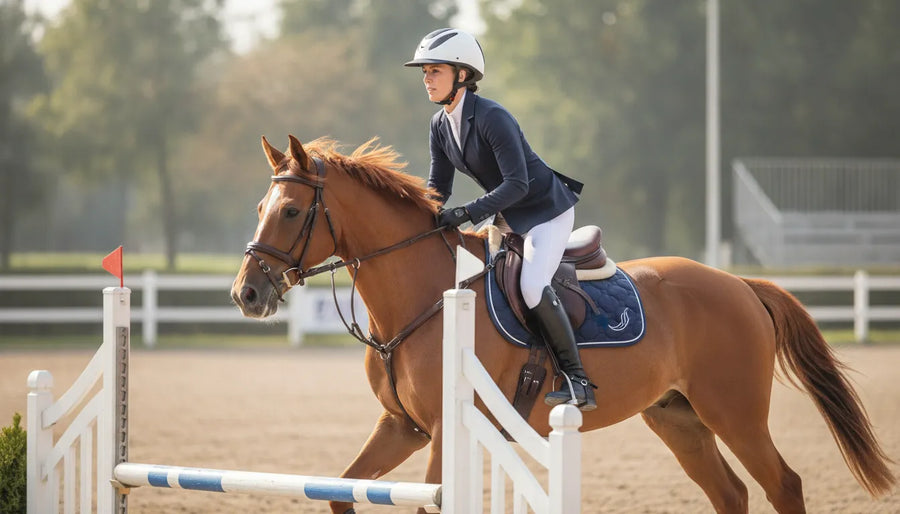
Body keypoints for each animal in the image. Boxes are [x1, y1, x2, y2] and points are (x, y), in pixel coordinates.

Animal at [231, 135, 894, 514]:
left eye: (291, 211)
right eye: (260, 207)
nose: (246, 294)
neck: (423, 299)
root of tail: (739, 285)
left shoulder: (447, 429)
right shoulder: (403, 428)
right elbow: (344, 489)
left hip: (734, 412)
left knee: (784, 486)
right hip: (677, 418)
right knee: (729, 494)